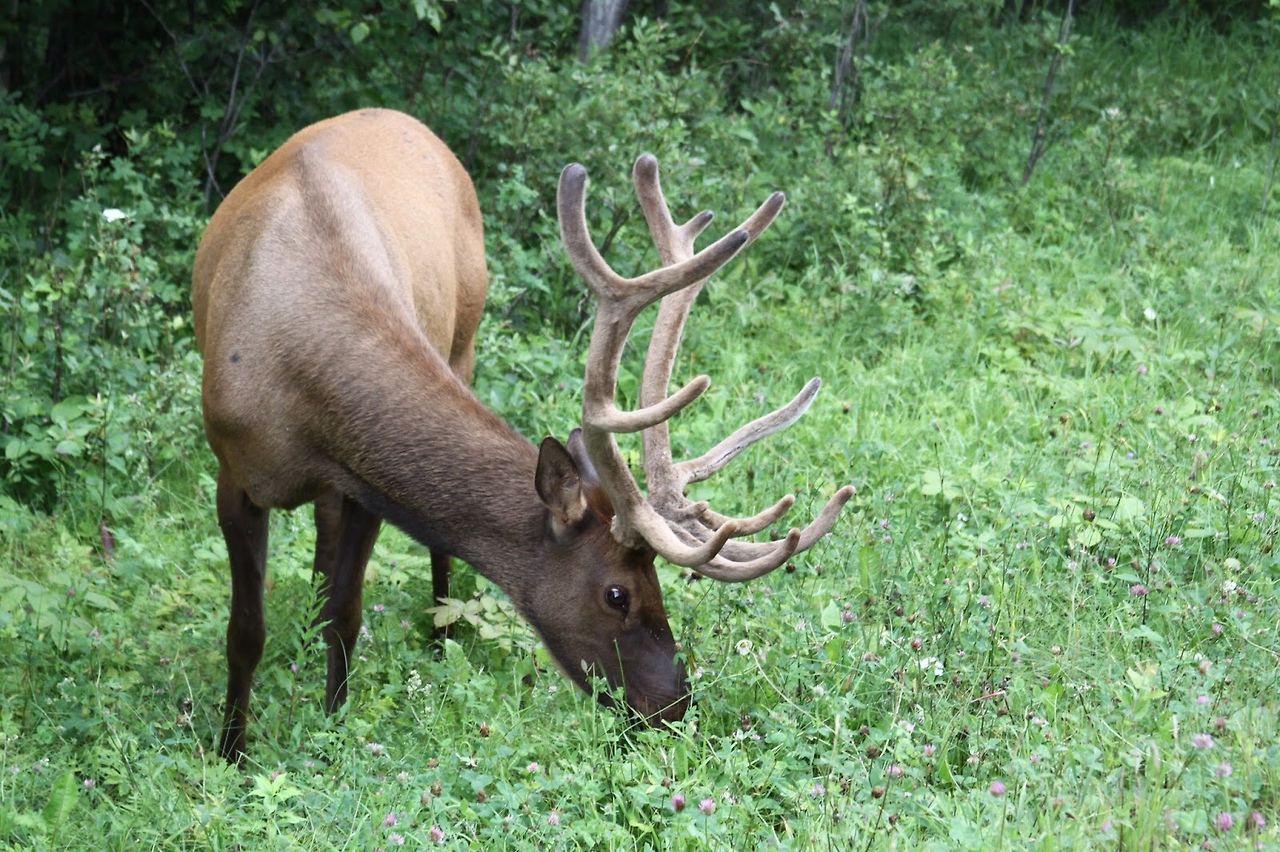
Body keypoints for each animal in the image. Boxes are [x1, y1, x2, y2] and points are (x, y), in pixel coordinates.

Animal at [191, 108, 852, 762]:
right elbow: (246, 631)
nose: (675, 707)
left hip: (463, 333)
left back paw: (442, 629)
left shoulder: (361, 482)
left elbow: (345, 615)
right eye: (617, 594)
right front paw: (231, 750)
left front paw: (331, 729)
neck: (302, 388)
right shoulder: (232, 471)